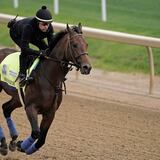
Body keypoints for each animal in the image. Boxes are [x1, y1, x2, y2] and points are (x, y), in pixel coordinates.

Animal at [0, 23, 91, 155]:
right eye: (74, 45)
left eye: (86, 44)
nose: (87, 67)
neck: (49, 78)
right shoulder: (30, 107)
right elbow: (36, 132)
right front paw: (21, 145)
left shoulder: (50, 113)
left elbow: (41, 139)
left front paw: (21, 145)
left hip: (18, 98)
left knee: (6, 108)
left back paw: (8, 141)